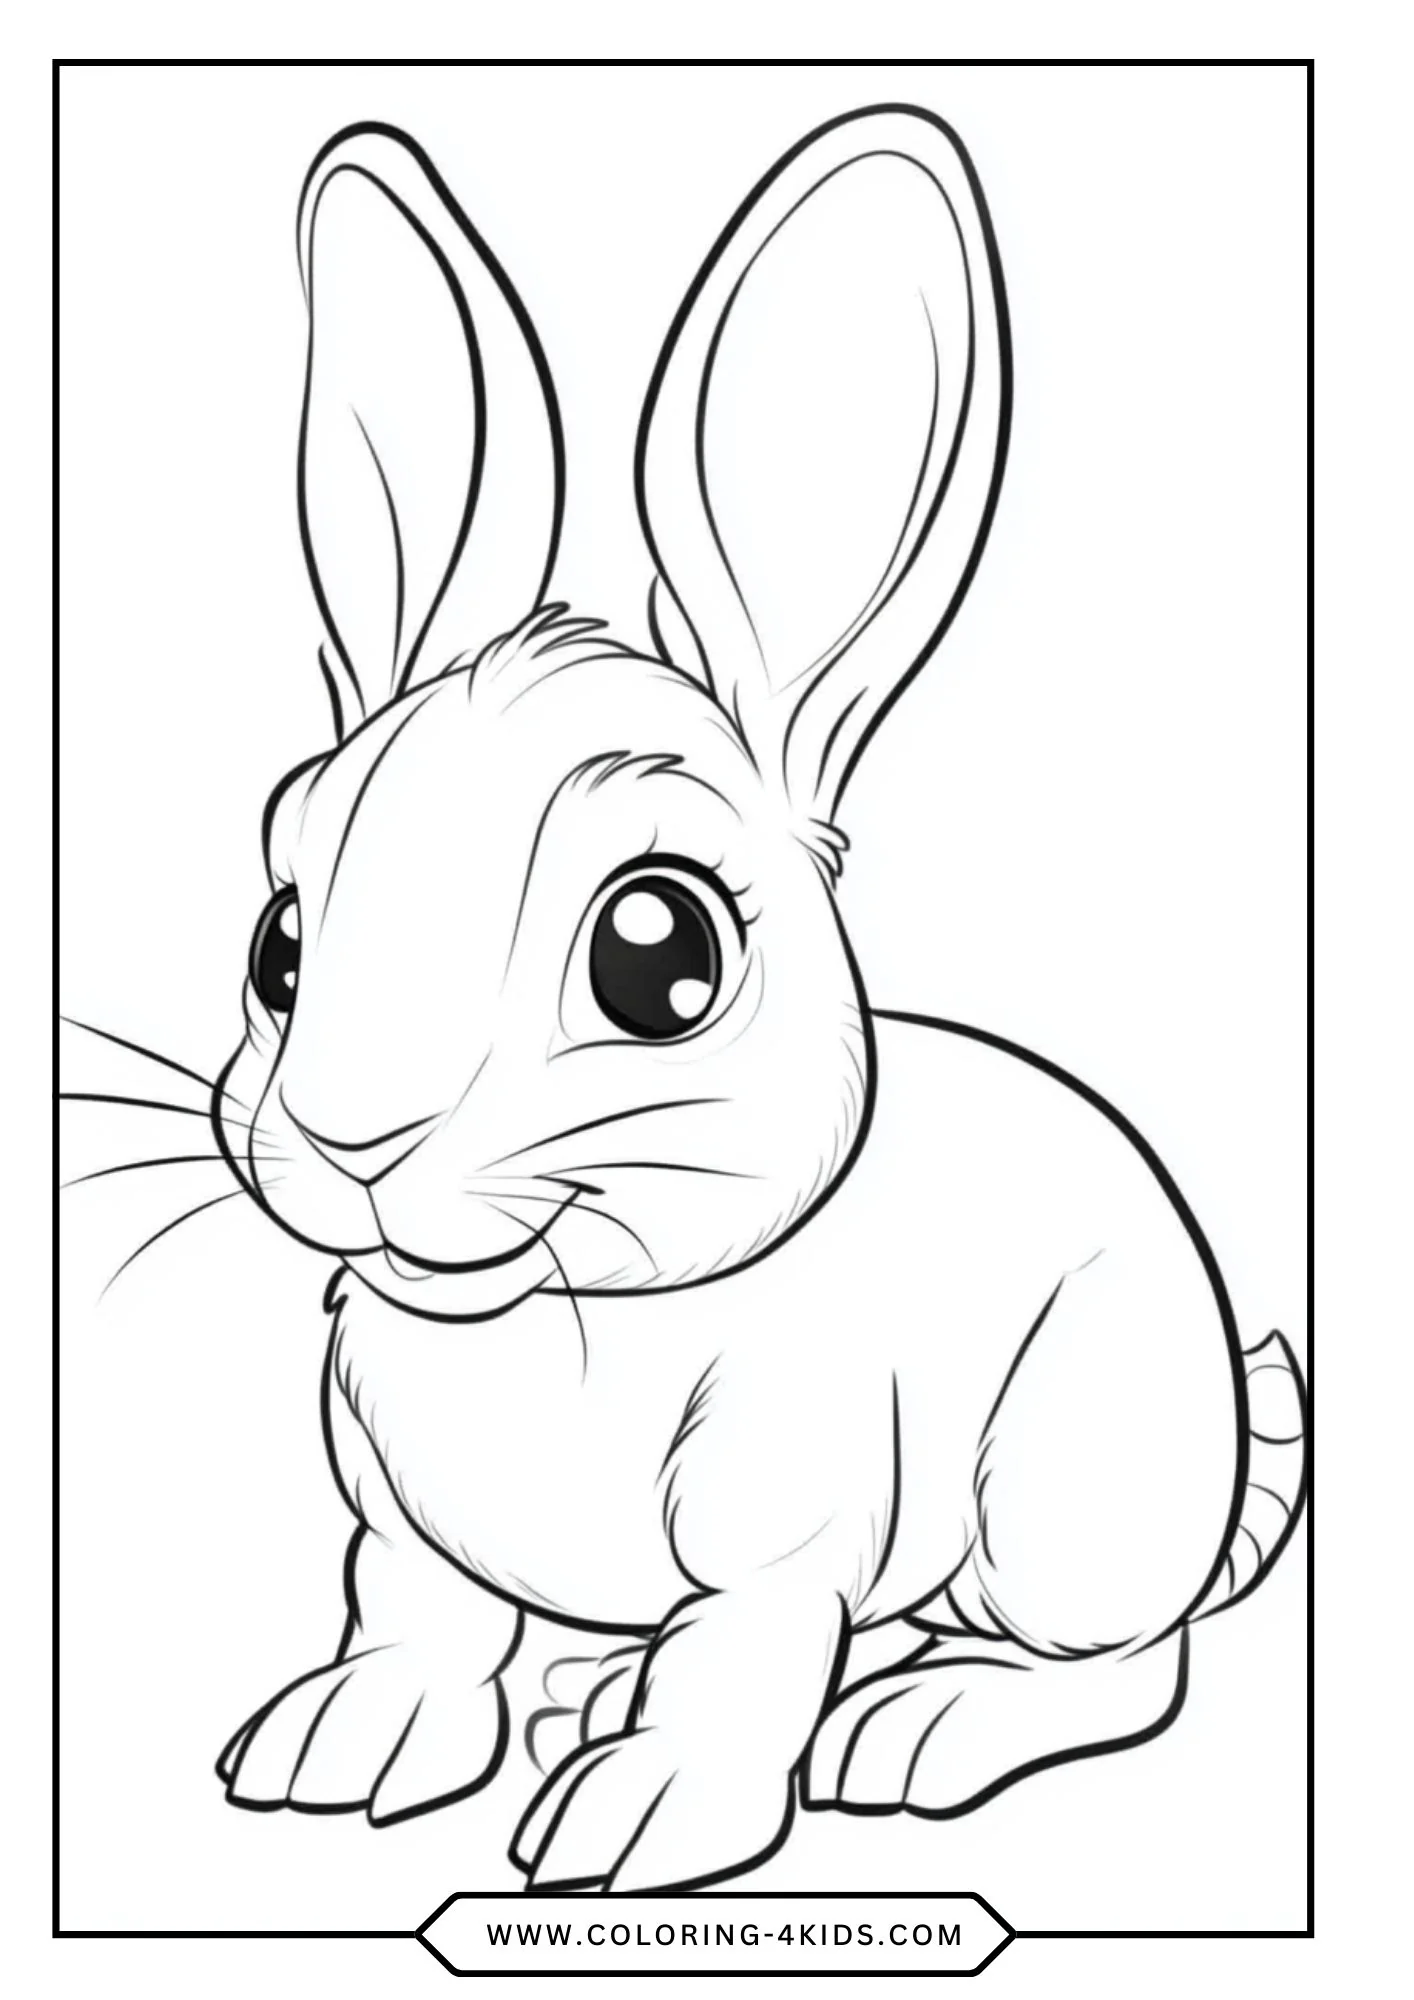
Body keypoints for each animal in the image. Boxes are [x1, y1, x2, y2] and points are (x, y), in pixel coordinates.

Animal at [194, 110, 1307, 1895]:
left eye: (660, 957)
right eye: (280, 945)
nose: (352, 1144)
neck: (558, 1321)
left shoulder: (782, 1537)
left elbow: (737, 1663)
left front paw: (635, 1824)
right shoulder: (397, 1518)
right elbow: (415, 1614)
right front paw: (337, 1749)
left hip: (1067, 1504)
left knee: (1131, 1664)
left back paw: (920, 1729)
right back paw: (598, 1693)